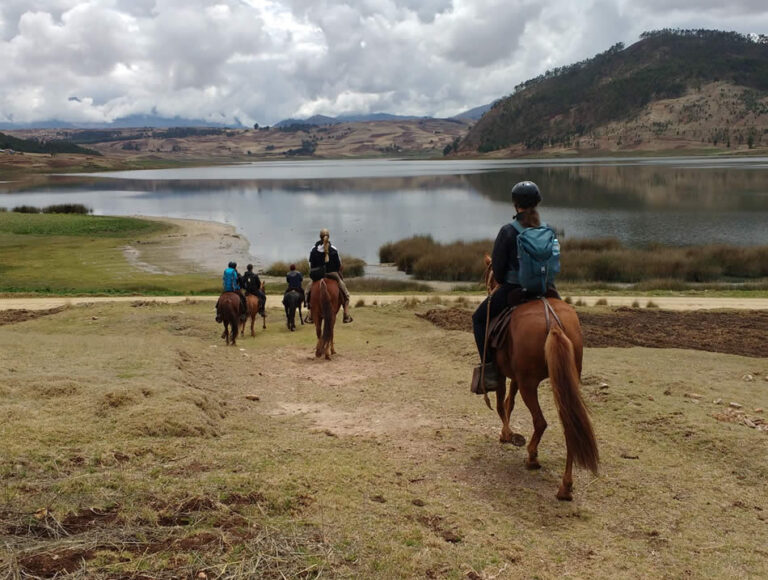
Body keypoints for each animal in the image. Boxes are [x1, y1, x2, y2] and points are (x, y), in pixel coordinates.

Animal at [480, 256, 600, 500]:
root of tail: (552, 323)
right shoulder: (516, 377)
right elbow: (510, 402)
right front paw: (507, 433)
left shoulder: (503, 374)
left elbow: (501, 404)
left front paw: (507, 435)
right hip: (563, 383)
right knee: (569, 428)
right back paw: (565, 486)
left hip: (530, 384)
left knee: (540, 422)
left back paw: (532, 457)